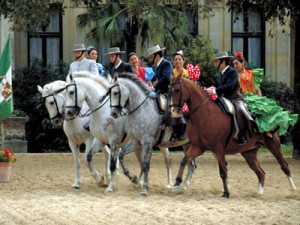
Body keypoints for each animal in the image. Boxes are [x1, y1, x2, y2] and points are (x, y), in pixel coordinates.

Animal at [168, 74, 296, 198]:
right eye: (169, 90)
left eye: (177, 90)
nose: (173, 112)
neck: (205, 114)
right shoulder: (198, 147)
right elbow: (184, 160)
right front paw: (177, 183)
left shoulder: (218, 148)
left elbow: (223, 171)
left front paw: (226, 193)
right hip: (249, 154)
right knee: (261, 173)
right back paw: (259, 193)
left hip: (274, 145)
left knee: (284, 166)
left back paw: (293, 190)